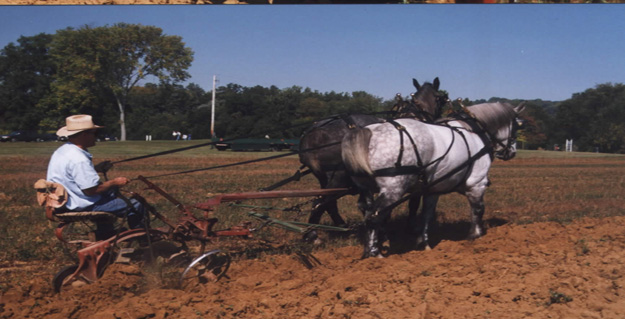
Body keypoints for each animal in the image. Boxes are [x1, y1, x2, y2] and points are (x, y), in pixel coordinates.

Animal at [338, 102, 524, 258]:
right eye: (516, 127)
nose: (511, 152)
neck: (475, 131)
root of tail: (370, 132)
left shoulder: (432, 190)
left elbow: (427, 215)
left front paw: (424, 243)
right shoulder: (477, 184)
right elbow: (478, 209)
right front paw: (475, 236)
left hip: (366, 189)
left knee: (367, 213)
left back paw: (368, 251)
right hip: (393, 189)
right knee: (374, 216)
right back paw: (375, 254)